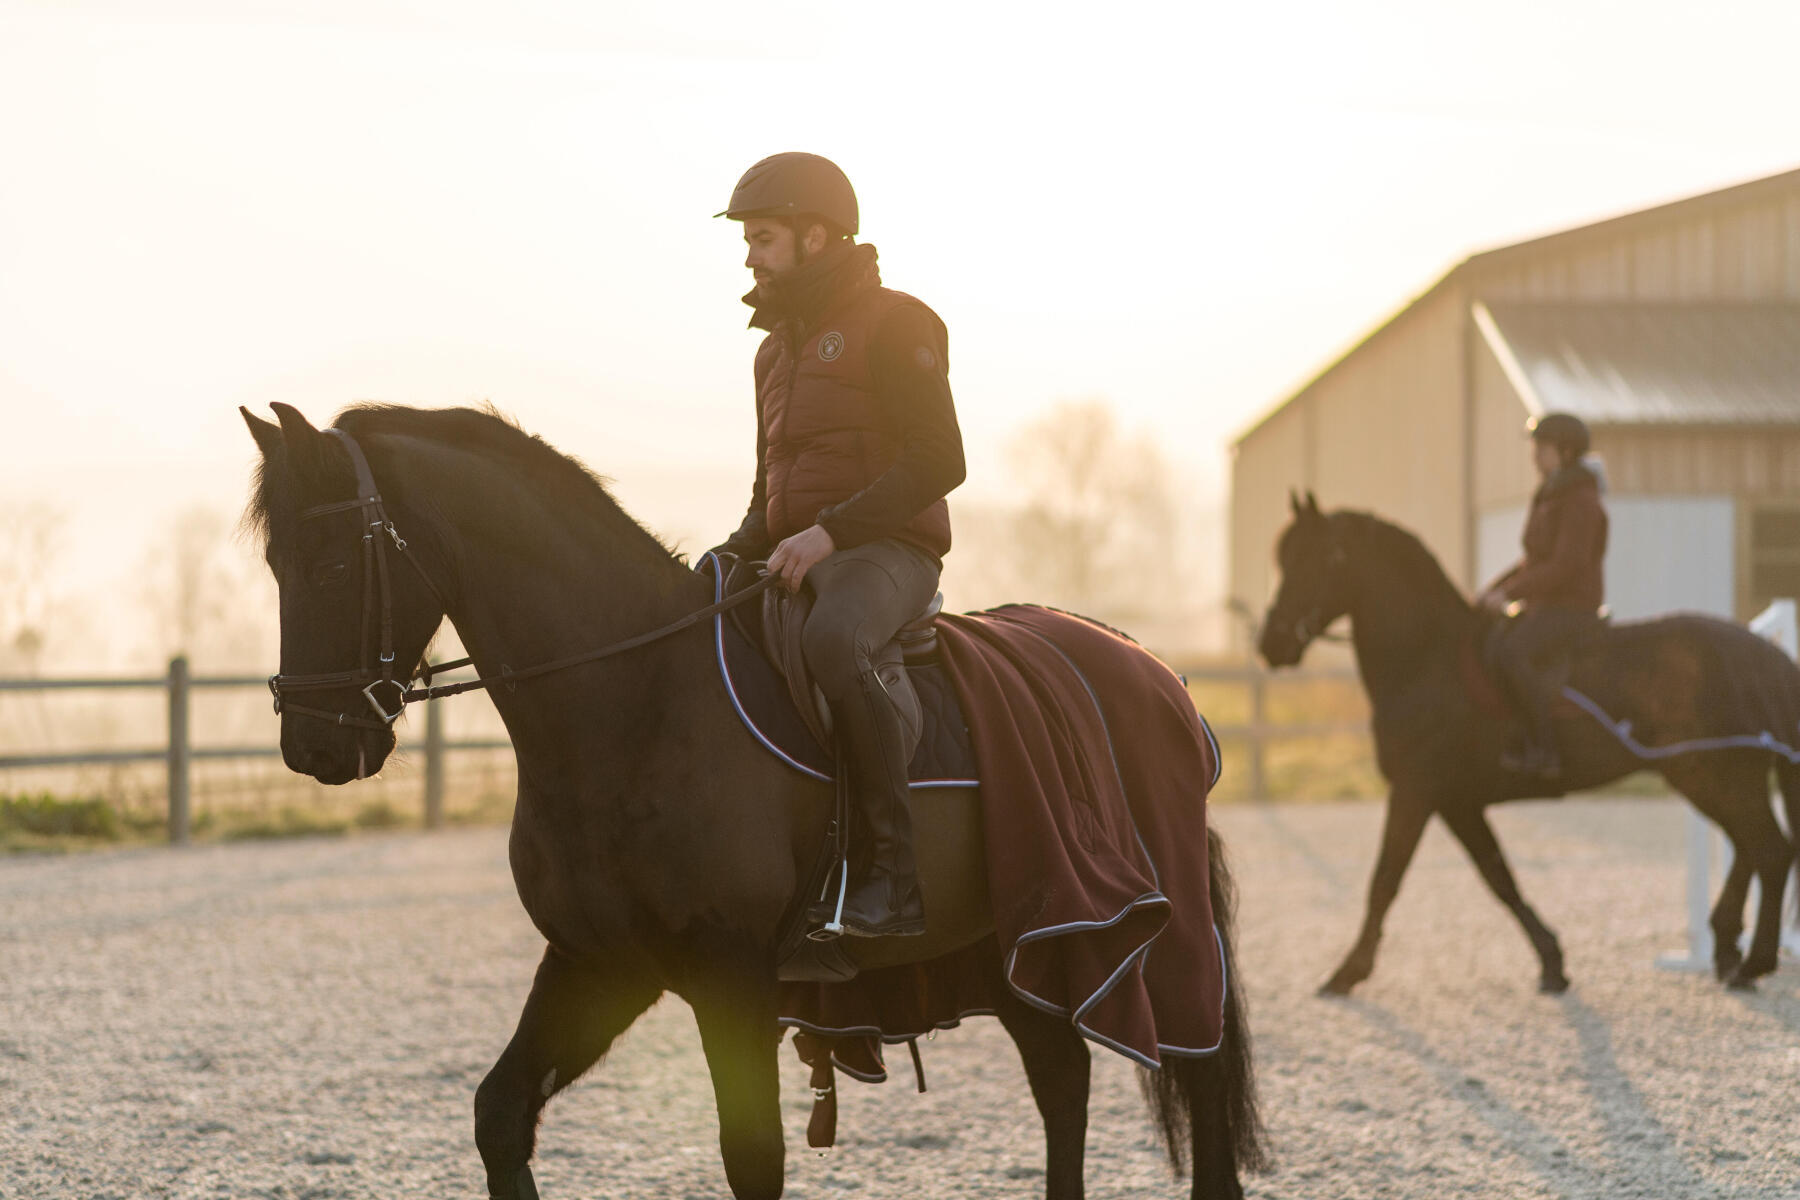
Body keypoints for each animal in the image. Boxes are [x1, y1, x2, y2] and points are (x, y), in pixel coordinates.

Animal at [243, 402, 1267, 1200]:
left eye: (333, 563)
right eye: (277, 565)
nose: (314, 746)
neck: (635, 697)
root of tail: (1157, 675)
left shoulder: (728, 977)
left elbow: (752, 1157)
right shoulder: (598, 962)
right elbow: (500, 1115)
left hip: (1153, 936)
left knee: (1197, 1088)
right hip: (1022, 941)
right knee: (1063, 1081)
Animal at [1260, 496, 1800, 993]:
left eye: (1320, 558)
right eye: (1284, 559)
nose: (1271, 643)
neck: (1429, 660)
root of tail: (1760, 653)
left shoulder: (1417, 791)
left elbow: (1385, 880)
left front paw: (1347, 972)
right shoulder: (1457, 801)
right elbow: (1499, 878)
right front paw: (1552, 962)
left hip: (1719, 776)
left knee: (1771, 851)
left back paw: (1753, 962)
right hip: (1708, 777)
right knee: (1750, 849)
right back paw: (1728, 949)